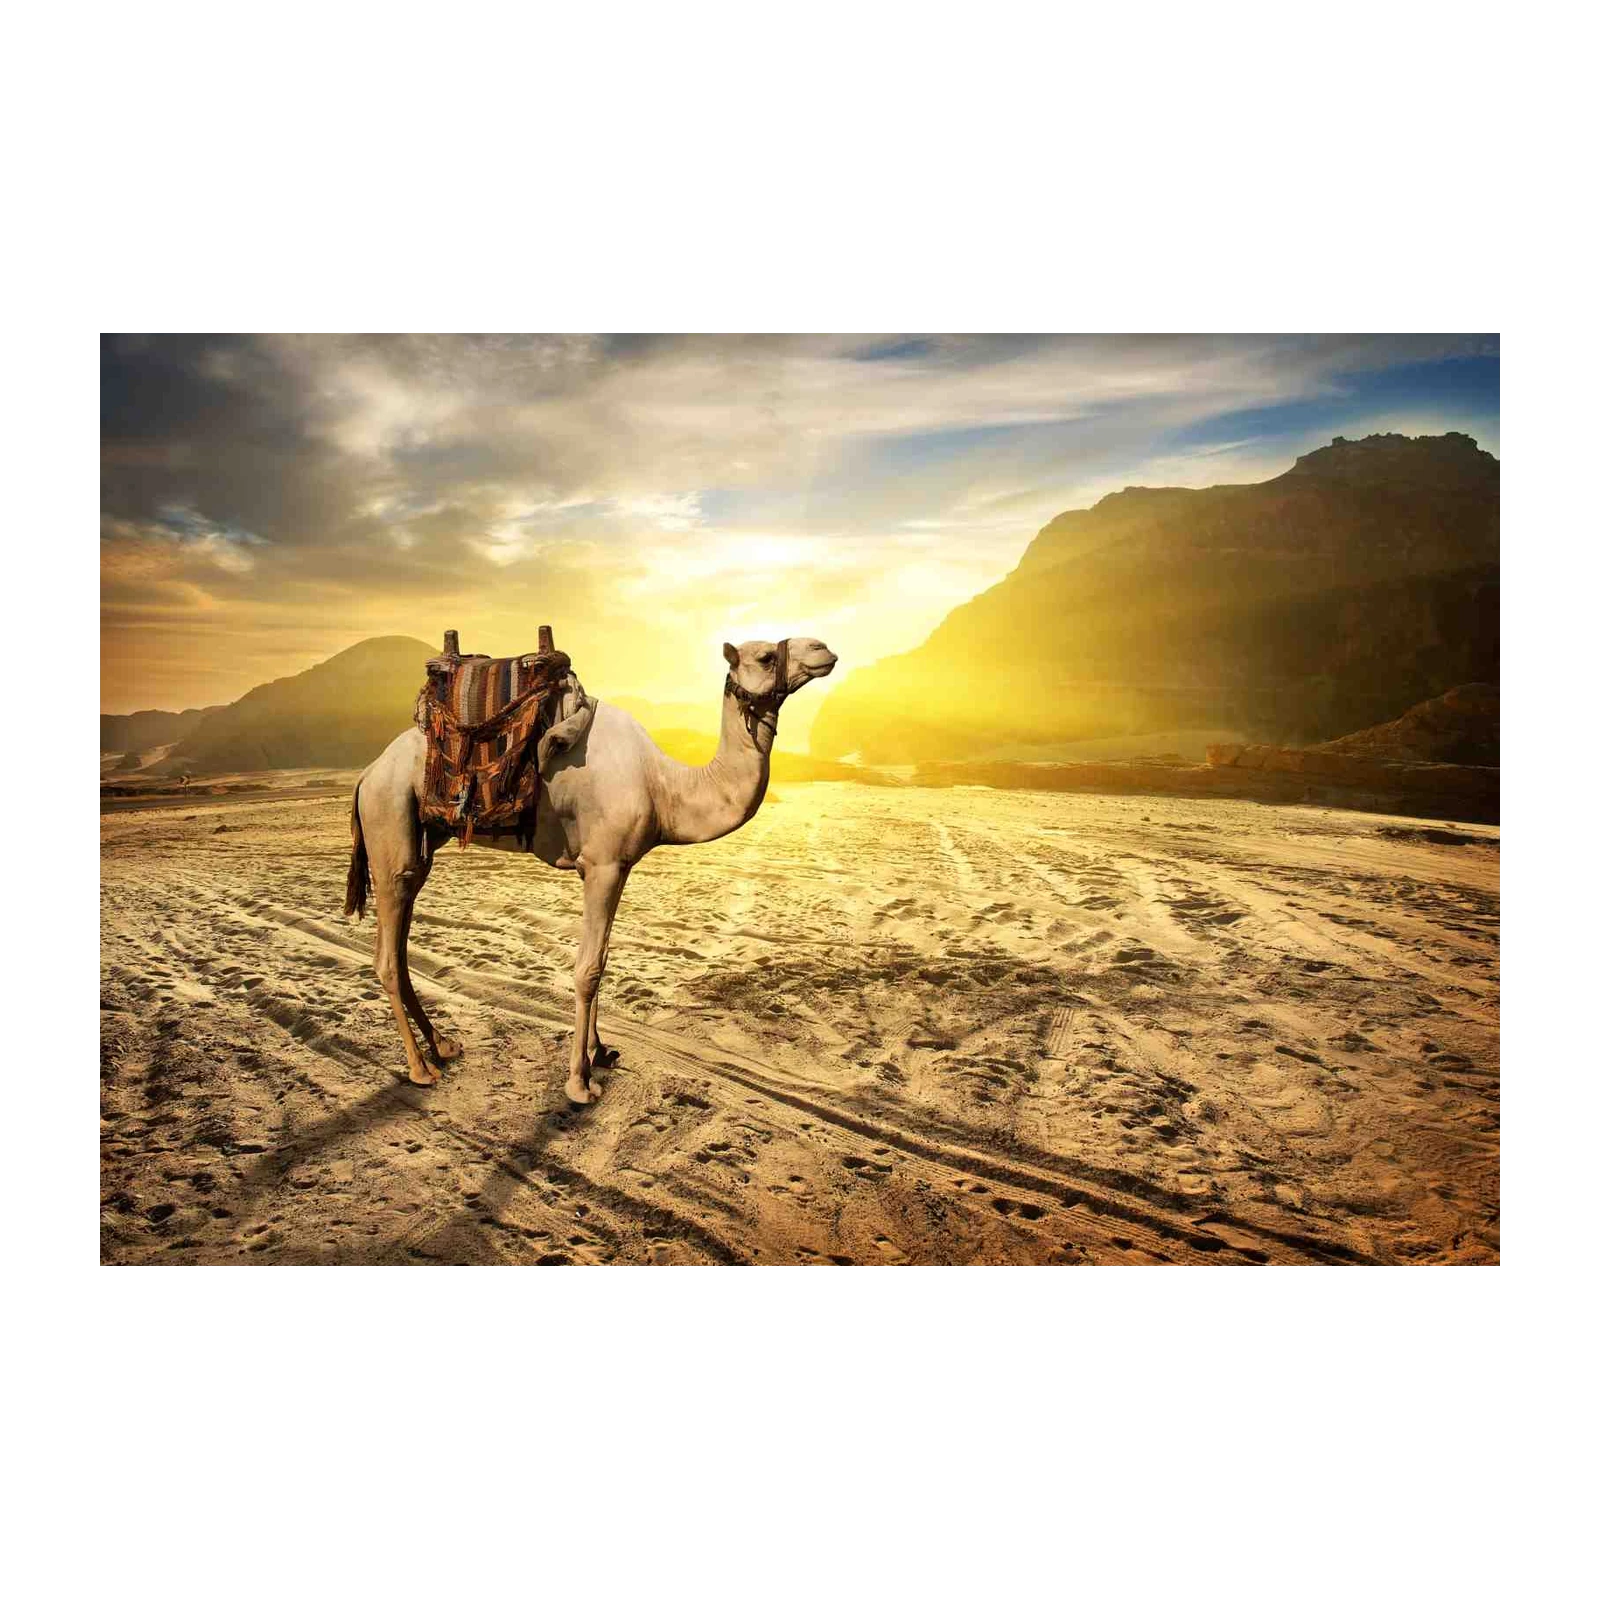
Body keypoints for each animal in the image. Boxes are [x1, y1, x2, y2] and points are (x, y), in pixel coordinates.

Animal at [345, 635, 837, 1104]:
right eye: (766, 657)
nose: (824, 649)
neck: (663, 786)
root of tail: (366, 774)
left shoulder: (614, 866)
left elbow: (602, 958)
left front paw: (599, 1052)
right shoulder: (603, 864)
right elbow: (588, 969)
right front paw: (579, 1083)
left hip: (420, 845)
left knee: (401, 947)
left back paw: (443, 1044)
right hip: (389, 821)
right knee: (387, 957)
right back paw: (420, 1068)